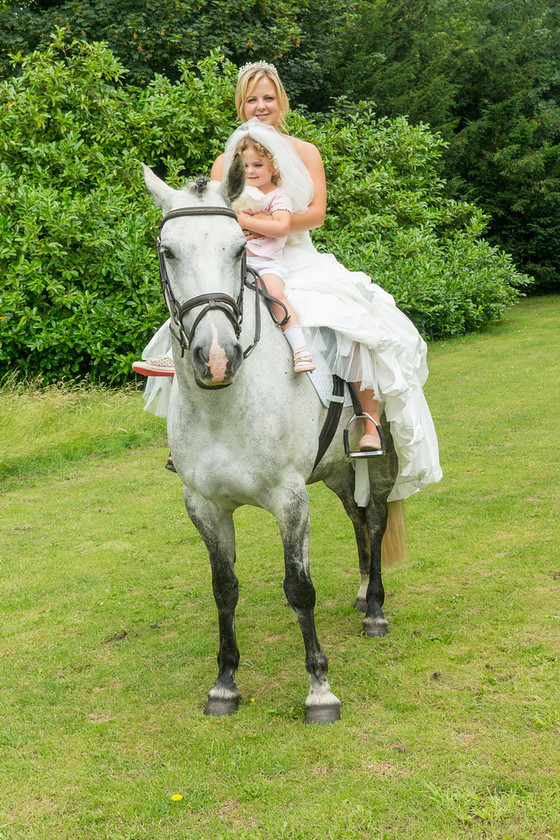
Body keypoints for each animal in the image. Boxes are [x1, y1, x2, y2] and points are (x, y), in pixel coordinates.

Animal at [140, 161, 402, 724]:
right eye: (168, 251)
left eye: (240, 248)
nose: (216, 358)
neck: (225, 407)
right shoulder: (205, 505)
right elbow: (224, 589)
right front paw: (224, 685)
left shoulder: (290, 499)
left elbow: (299, 588)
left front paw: (320, 690)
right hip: (338, 470)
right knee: (357, 517)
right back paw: (361, 593)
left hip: (379, 458)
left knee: (374, 519)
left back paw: (374, 609)